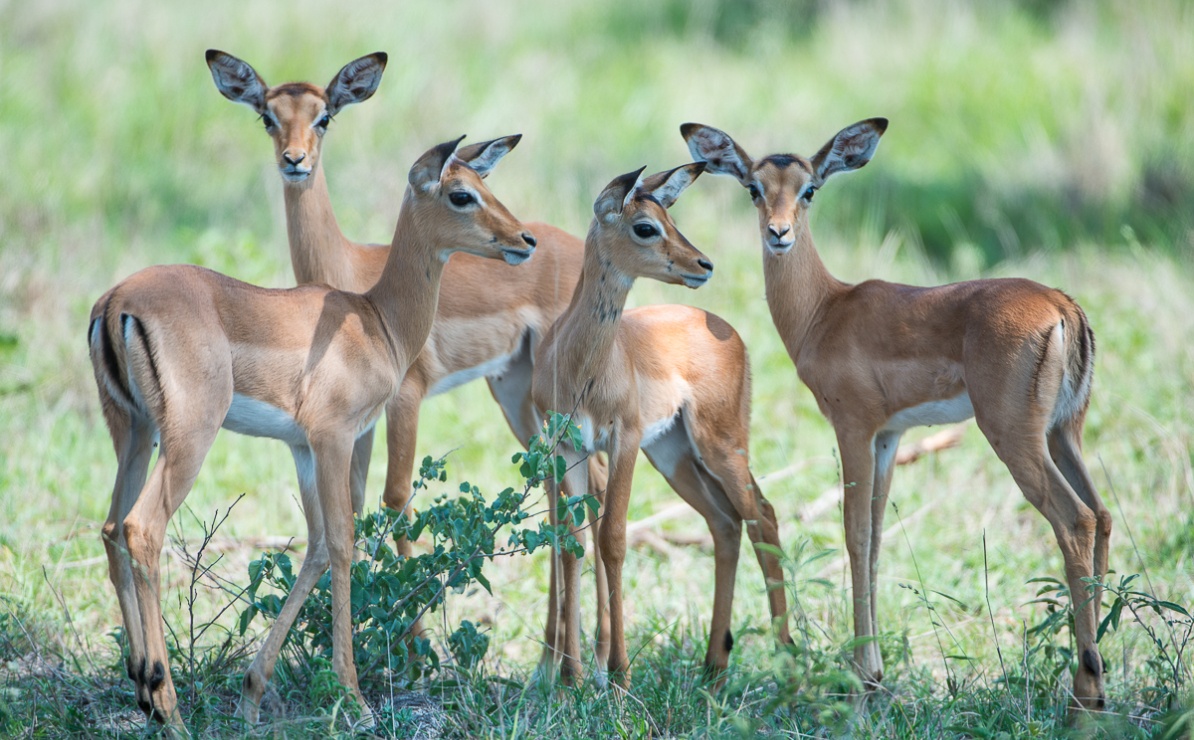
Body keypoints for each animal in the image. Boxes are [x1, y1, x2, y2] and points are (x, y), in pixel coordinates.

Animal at [89, 135, 535, 727]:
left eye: (486, 183)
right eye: (461, 194)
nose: (525, 240)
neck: (376, 320)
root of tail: (117, 301)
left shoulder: (301, 447)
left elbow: (318, 545)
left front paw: (252, 695)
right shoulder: (335, 439)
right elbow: (345, 542)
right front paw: (356, 697)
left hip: (135, 435)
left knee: (111, 528)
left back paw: (143, 686)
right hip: (189, 439)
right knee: (142, 528)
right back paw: (168, 706)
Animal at [206, 50, 610, 652]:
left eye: (325, 116)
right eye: (267, 116)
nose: (294, 161)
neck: (355, 282)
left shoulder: (406, 400)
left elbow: (395, 498)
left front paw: (417, 649)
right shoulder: (354, 422)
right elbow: (351, 509)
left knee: (593, 482)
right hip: (515, 392)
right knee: (560, 483)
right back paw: (555, 660)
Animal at [532, 163, 792, 688]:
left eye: (668, 217)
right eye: (645, 226)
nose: (703, 264)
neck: (581, 364)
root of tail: (728, 330)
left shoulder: (624, 438)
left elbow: (612, 539)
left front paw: (619, 677)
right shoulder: (569, 448)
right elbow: (571, 543)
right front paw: (569, 682)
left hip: (720, 446)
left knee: (764, 516)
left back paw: (791, 664)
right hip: (675, 456)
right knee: (726, 523)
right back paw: (713, 666)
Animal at [682, 119, 1109, 710]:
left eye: (809, 189)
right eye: (753, 187)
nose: (778, 233)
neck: (824, 312)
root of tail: (1061, 306)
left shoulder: (852, 428)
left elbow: (854, 533)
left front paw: (863, 675)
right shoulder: (889, 436)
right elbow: (878, 536)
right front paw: (876, 671)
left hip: (1015, 438)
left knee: (1076, 520)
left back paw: (1085, 691)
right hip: (1064, 433)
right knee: (1104, 514)